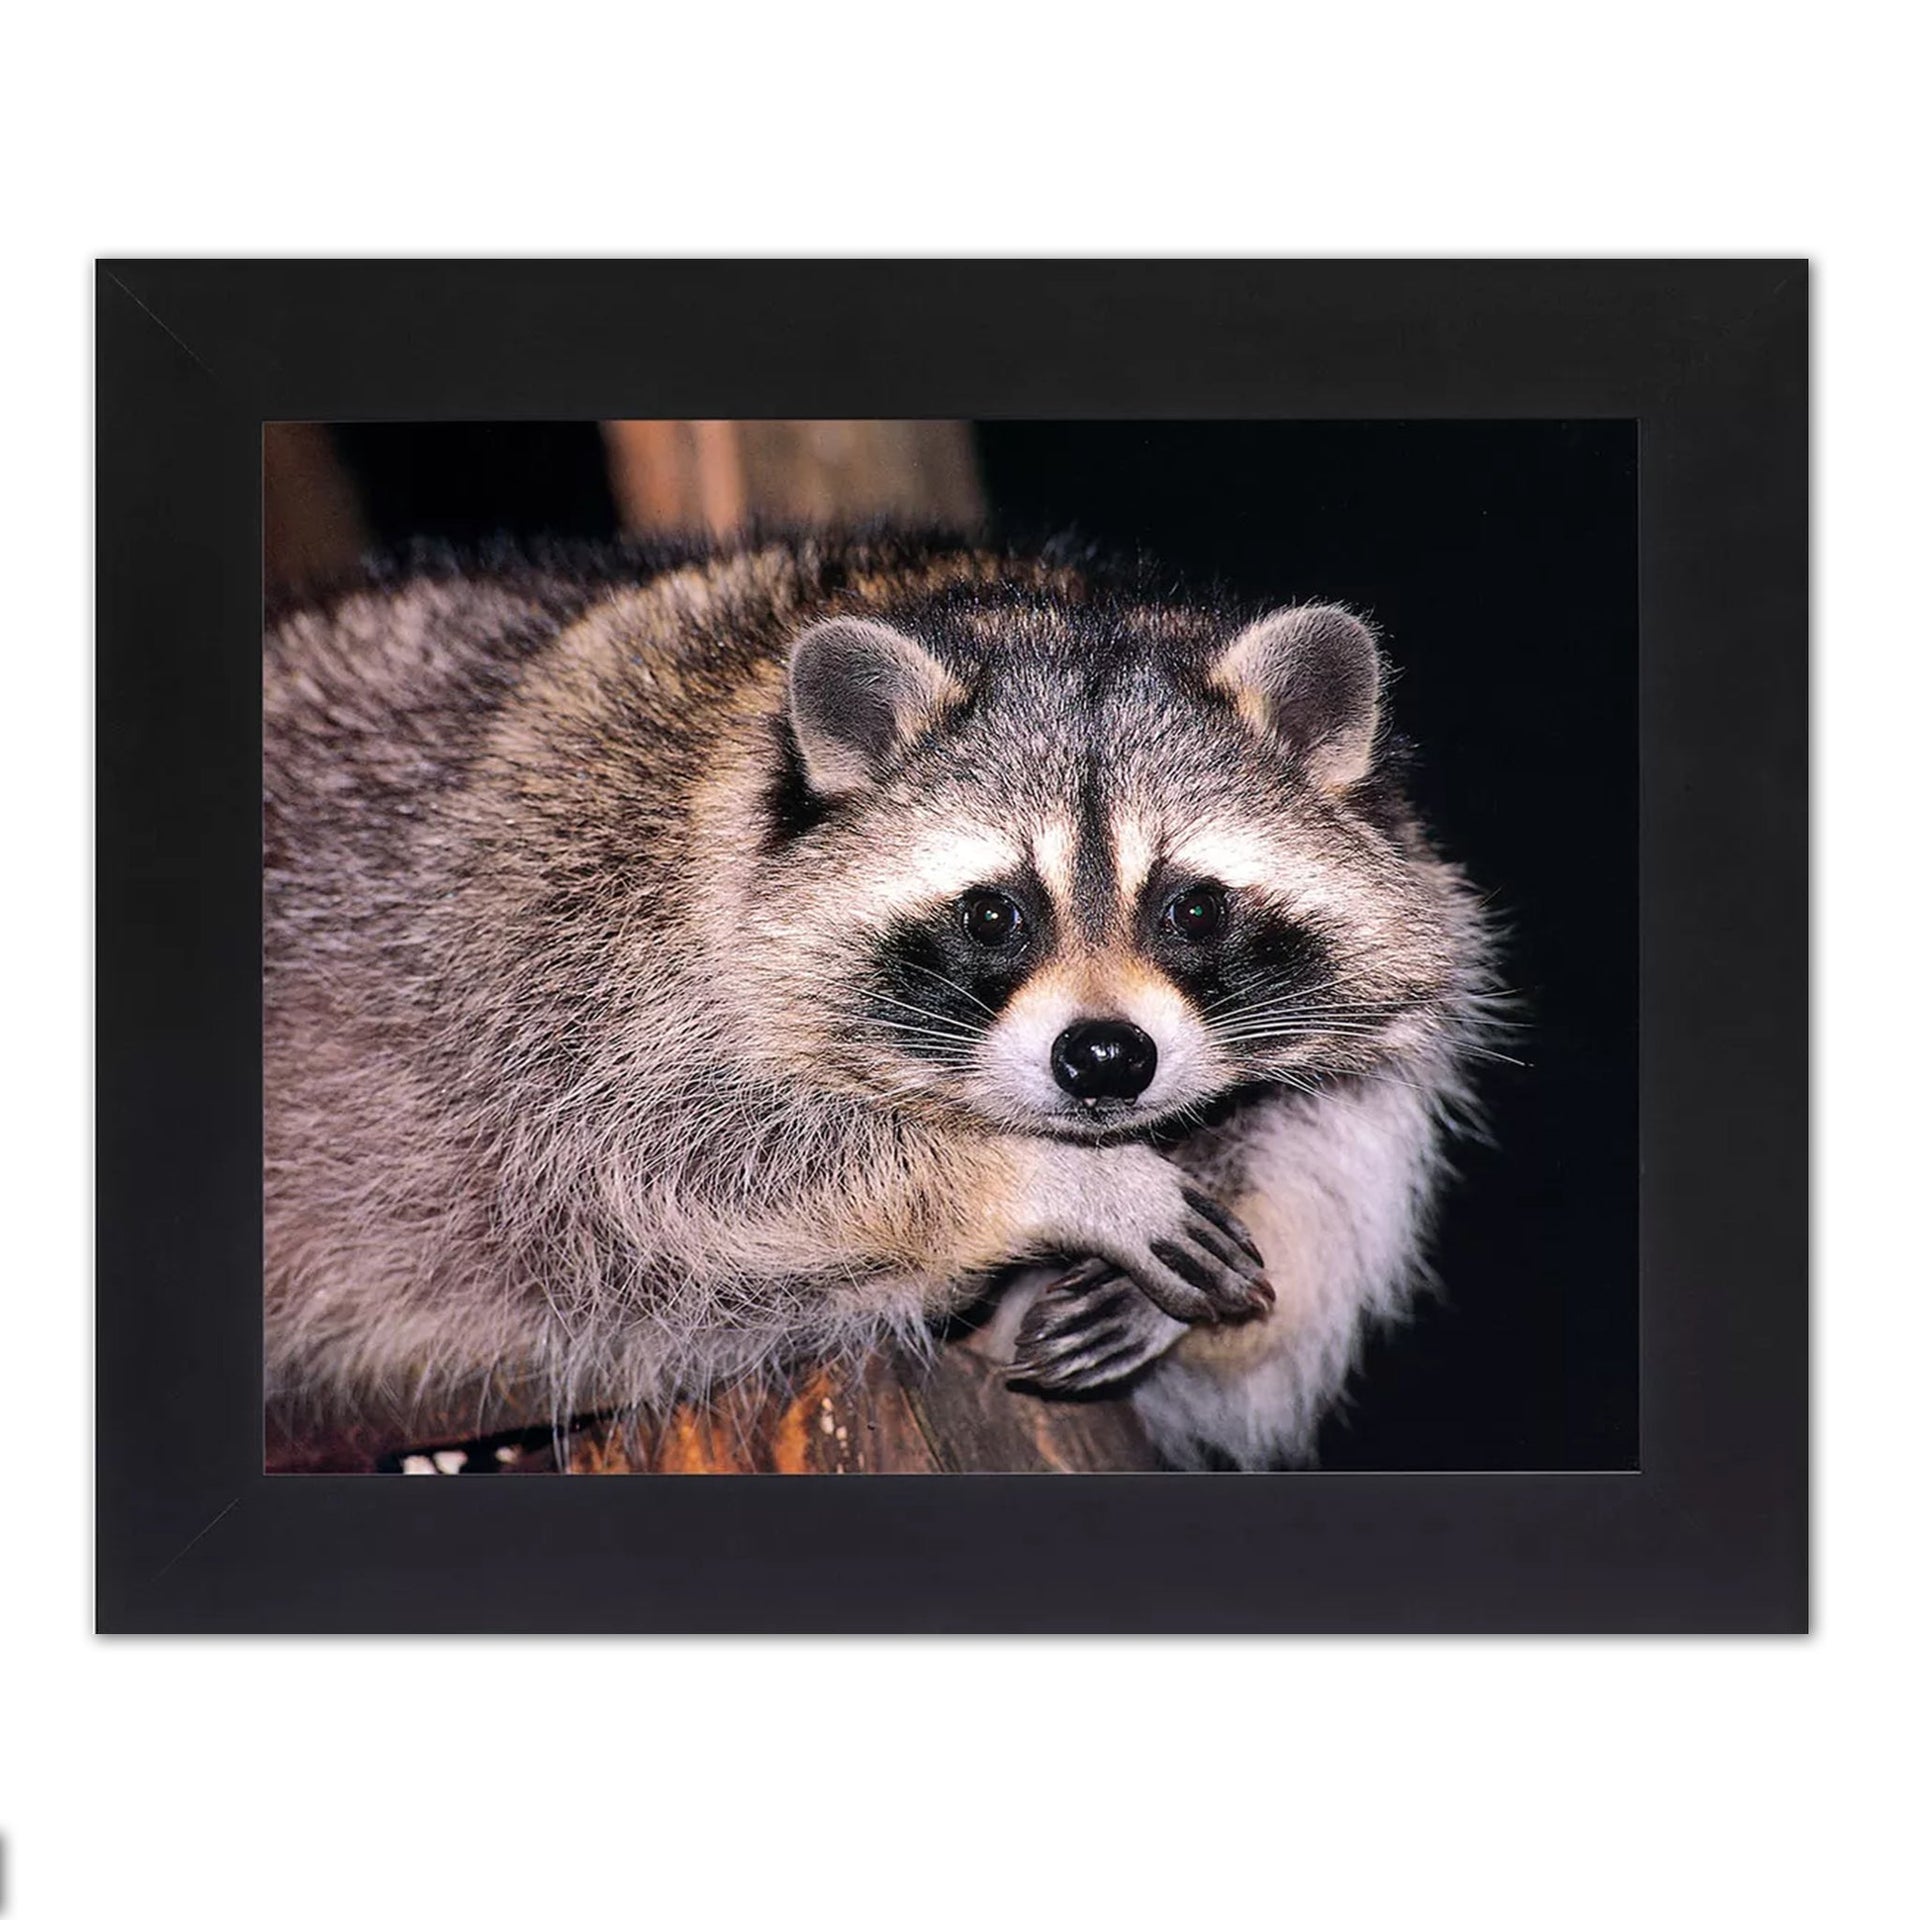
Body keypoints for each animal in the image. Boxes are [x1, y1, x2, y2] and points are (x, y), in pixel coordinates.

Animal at [265, 531, 1496, 1469]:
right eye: (995, 916)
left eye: (1193, 909)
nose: (1105, 1059)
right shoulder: (574, 962)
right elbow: (659, 1166)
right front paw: (1052, 1183)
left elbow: (1332, 1157)